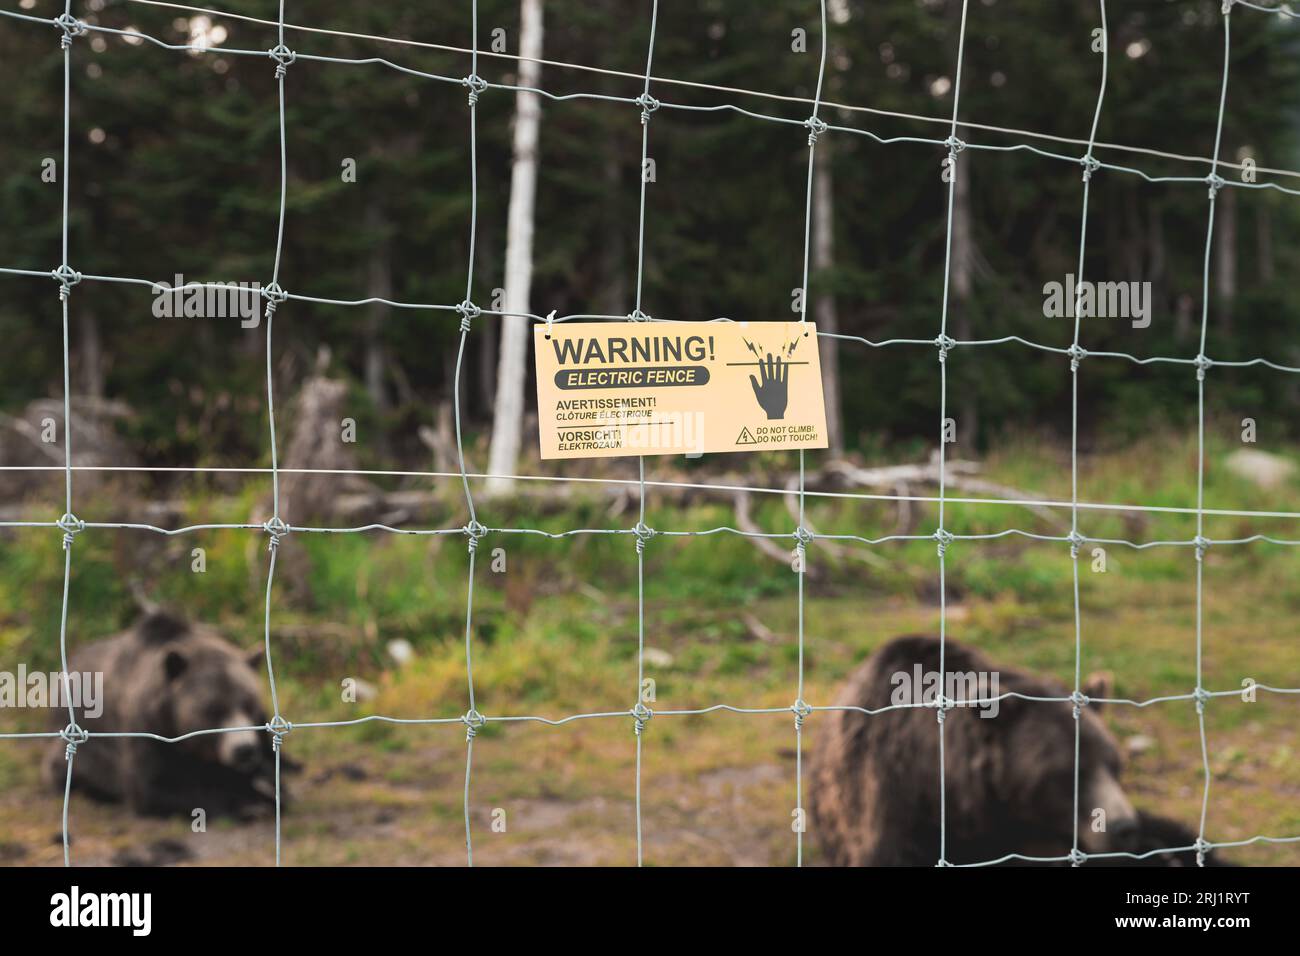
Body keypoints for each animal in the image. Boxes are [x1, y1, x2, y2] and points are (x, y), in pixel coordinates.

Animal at [45, 608, 292, 816]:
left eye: (249, 703)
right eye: (213, 709)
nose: (244, 750)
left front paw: (272, 789)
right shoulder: (145, 729)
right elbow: (154, 786)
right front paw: (249, 803)